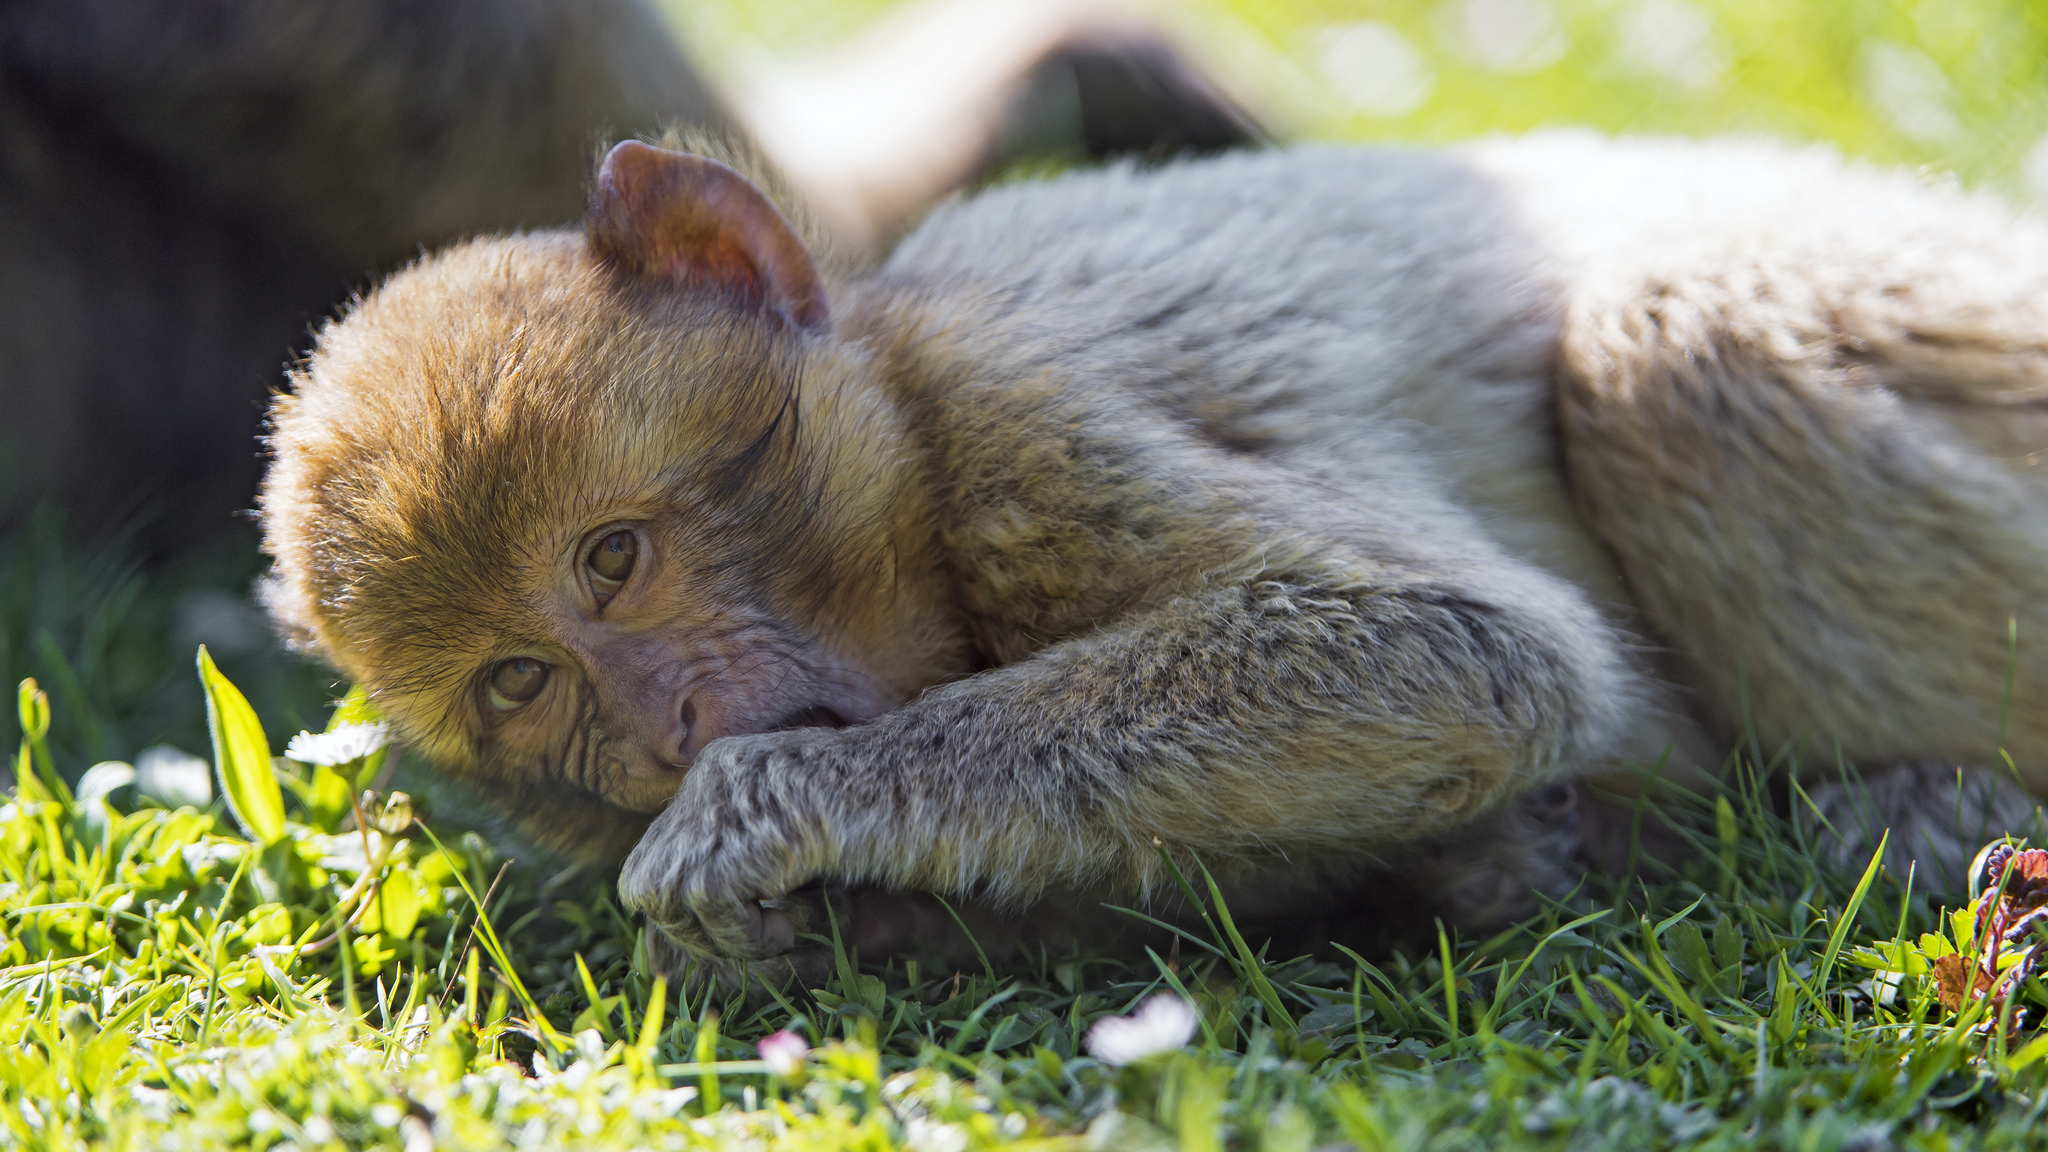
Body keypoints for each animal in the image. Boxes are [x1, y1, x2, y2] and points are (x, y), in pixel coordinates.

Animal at [264, 127, 2048, 975]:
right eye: (521, 681)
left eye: (615, 560)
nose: (666, 733)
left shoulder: (1027, 425)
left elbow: (1470, 653)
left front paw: (769, 811)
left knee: (1671, 351)